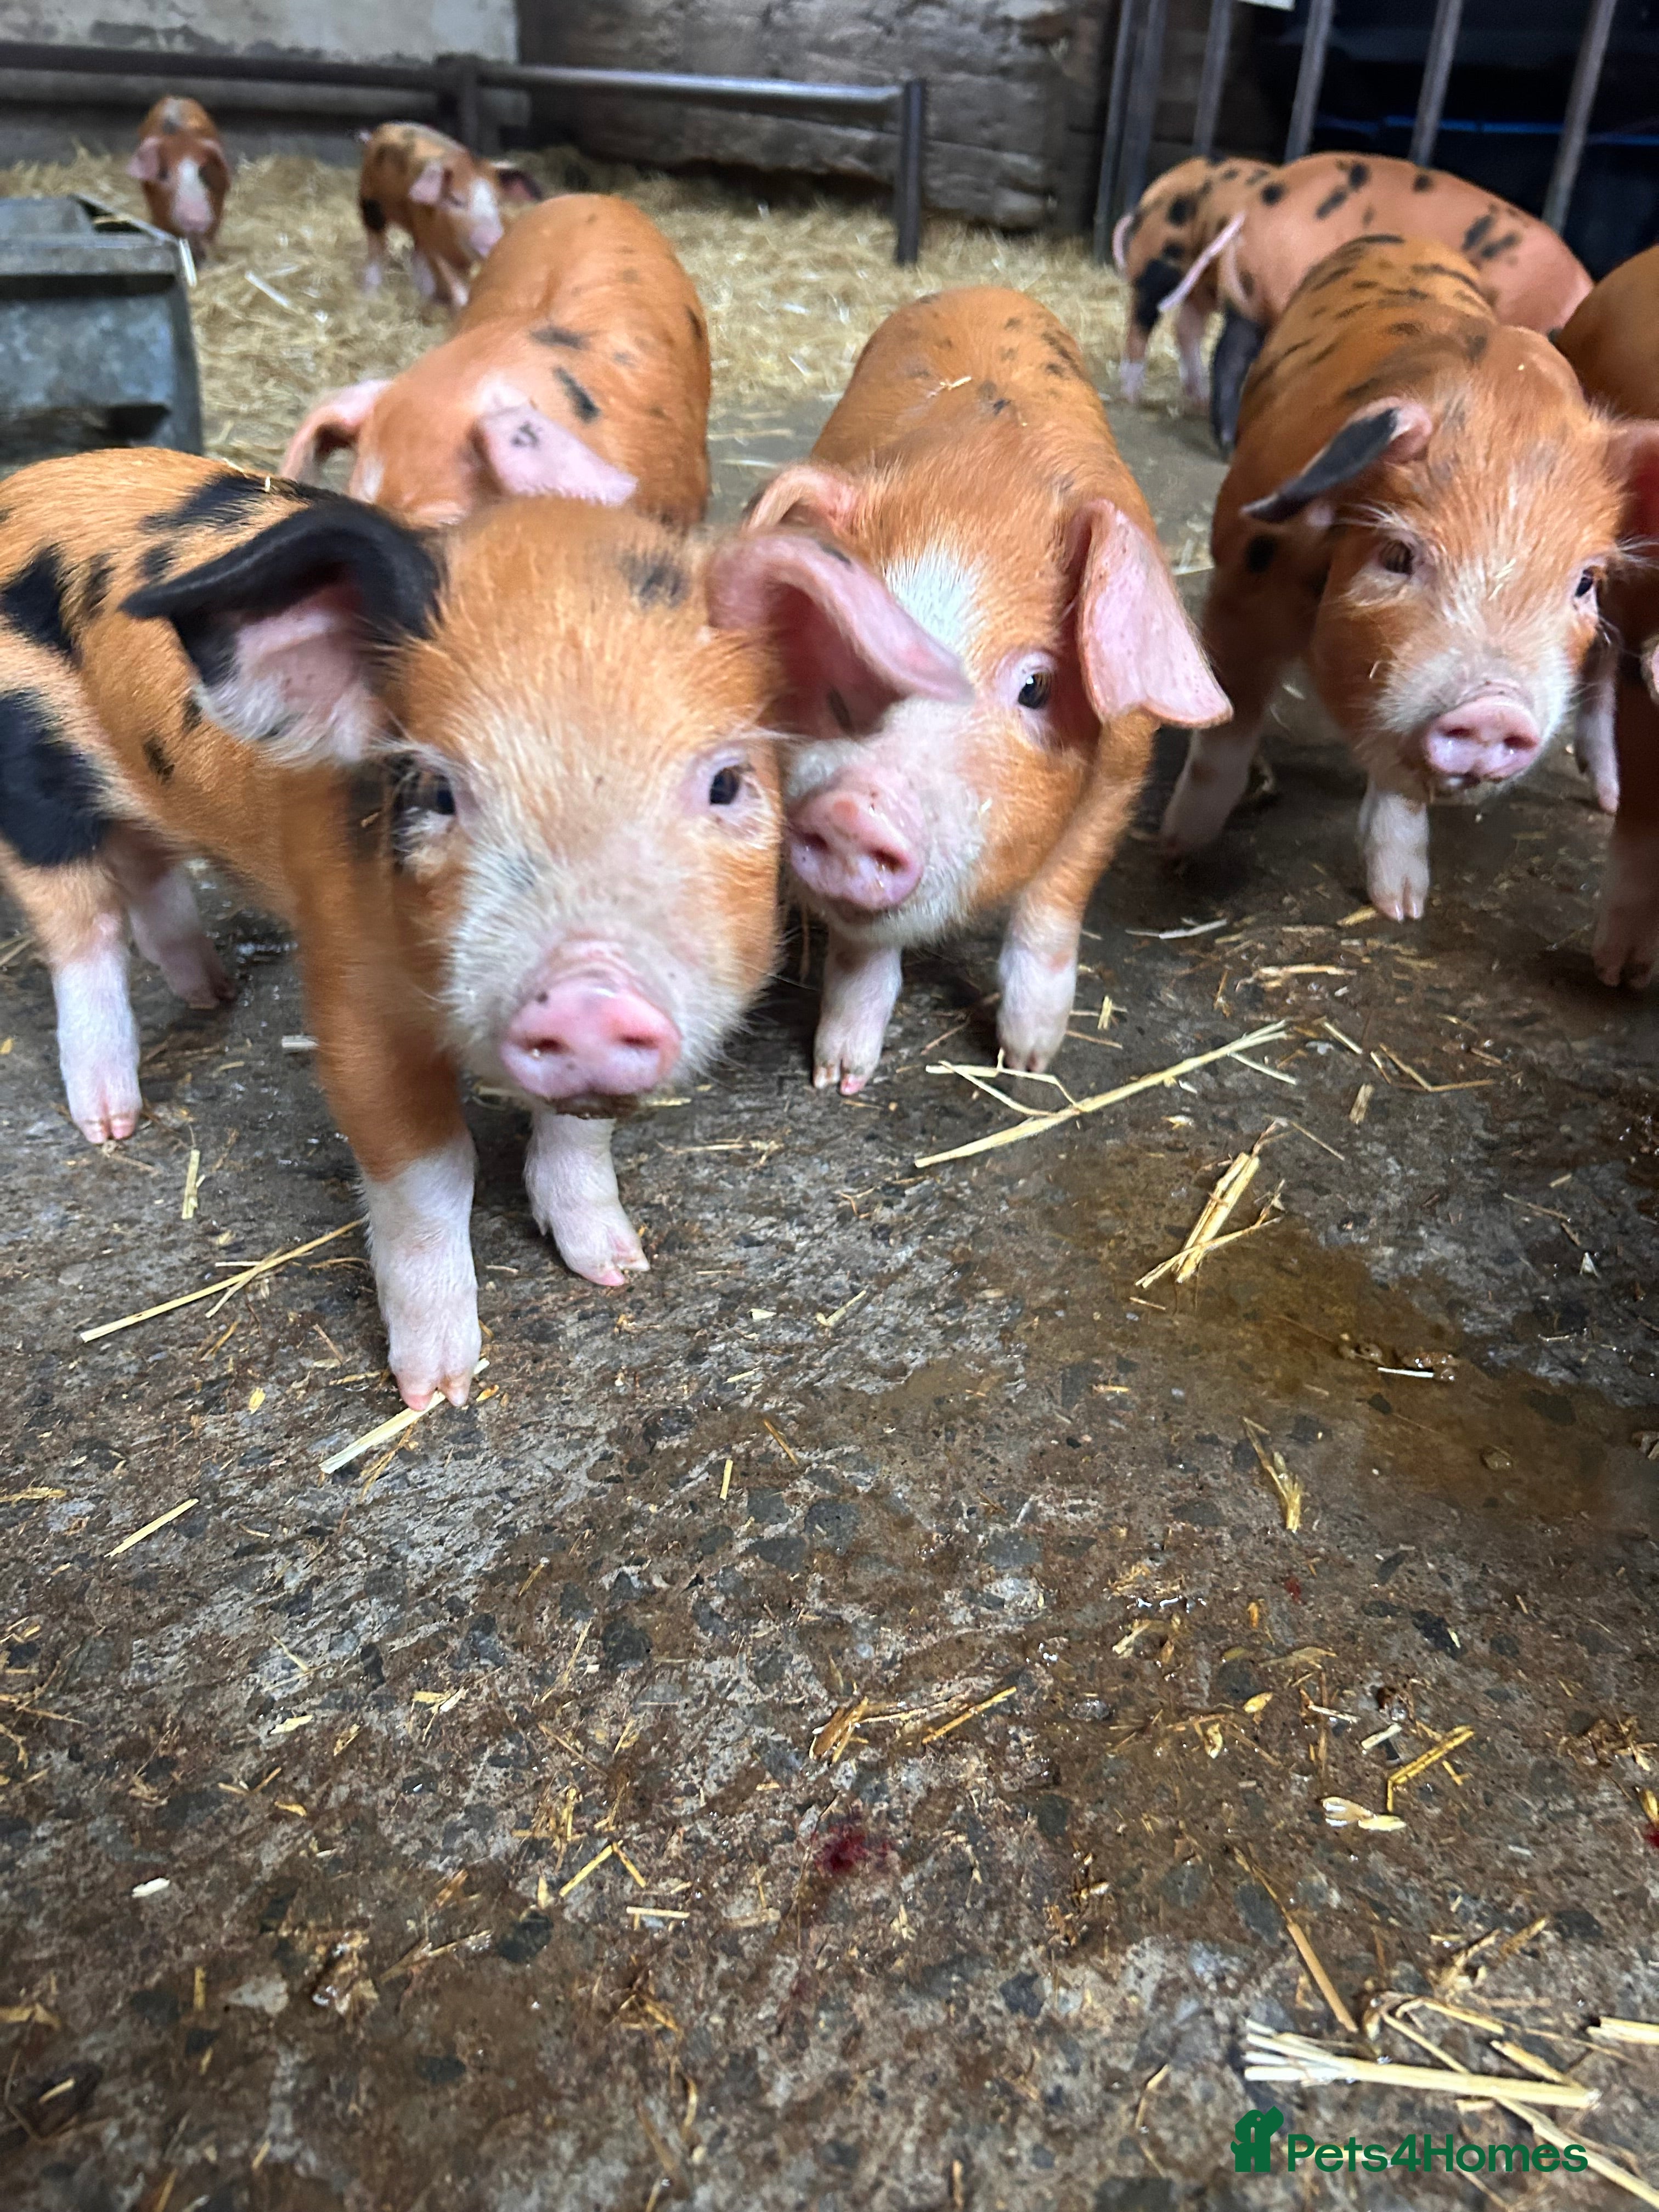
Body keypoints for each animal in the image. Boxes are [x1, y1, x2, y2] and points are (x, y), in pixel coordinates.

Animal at [0, 448, 966, 1407]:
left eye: (728, 782)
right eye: (437, 791)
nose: (586, 997)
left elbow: (580, 1134)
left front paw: (619, 1269)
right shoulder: (350, 997)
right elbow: (429, 1175)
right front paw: (438, 1392)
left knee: (148, 868)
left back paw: (213, 993)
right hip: (32, 785)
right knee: (81, 933)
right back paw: (110, 1124)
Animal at [357, 121, 541, 311]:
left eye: (497, 201)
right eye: (455, 201)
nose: (493, 238)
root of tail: (385, 128)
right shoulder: (436, 247)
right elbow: (456, 288)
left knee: (416, 256)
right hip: (370, 204)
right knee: (377, 249)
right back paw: (370, 296)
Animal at [744, 286, 1228, 1094]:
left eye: (1036, 686)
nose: (852, 810)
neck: (981, 483)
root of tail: (979, 289)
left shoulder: (1122, 771)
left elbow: (1052, 906)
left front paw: (1027, 1063)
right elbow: (859, 950)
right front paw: (838, 1079)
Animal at [1111, 154, 1275, 406]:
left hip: (1205, 282)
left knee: (1185, 327)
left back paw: (1201, 399)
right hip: (1158, 259)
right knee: (1141, 318)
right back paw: (1132, 396)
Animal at [1162, 234, 1659, 923]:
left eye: (1584, 581)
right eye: (1398, 555)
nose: (1494, 709)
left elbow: (1402, 792)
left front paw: (1402, 907)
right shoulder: (1243, 576)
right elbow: (1225, 733)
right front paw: (1175, 851)